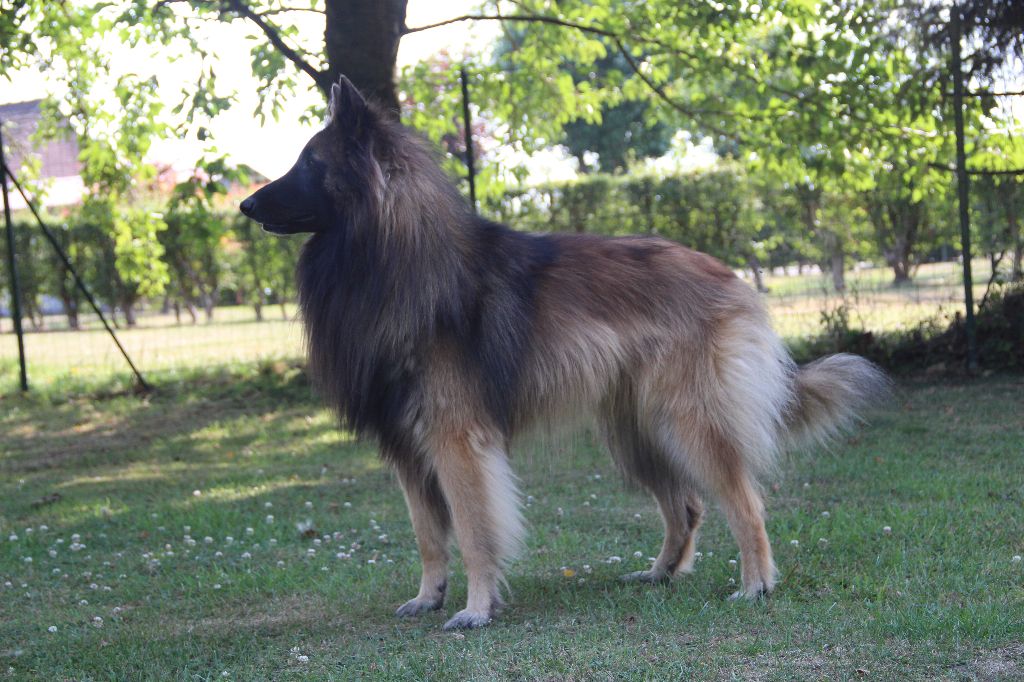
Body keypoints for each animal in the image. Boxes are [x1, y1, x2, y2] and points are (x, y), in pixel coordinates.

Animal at [240, 76, 887, 630]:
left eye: (309, 164)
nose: (245, 208)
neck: (391, 249)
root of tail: (729, 276)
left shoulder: (456, 441)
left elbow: (473, 530)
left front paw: (476, 608)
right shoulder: (407, 446)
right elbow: (428, 535)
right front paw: (429, 597)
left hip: (690, 421)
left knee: (743, 501)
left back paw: (755, 584)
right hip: (635, 432)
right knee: (685, 507)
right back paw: (660, 573)